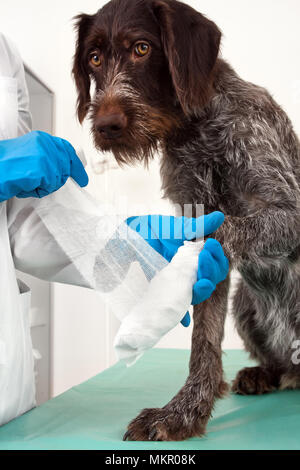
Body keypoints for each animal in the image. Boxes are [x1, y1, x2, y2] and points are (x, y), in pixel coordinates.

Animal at [72, 0, 300, 440]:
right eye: (93, 58)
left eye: (142, 48)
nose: (106, 126)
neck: (194, 130)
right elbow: (204, 342)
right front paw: (184, 412)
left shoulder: (289, 211)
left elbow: (218, 230)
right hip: (245, 302)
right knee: (282, 366)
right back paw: (266, 373)